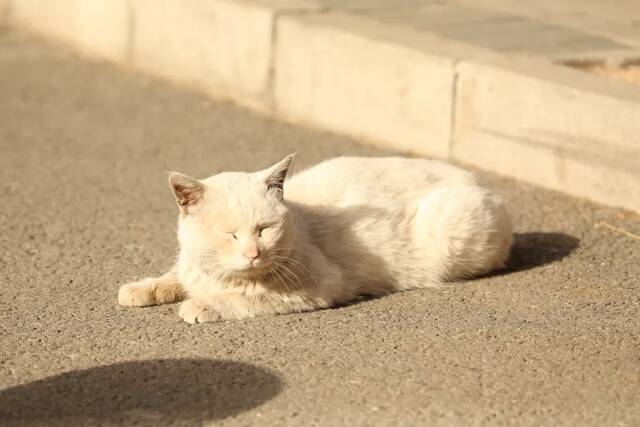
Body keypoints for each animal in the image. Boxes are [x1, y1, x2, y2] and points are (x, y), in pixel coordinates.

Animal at [117, 155, 512, 322]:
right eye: (230, 234)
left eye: (264, 229)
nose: (253, 253)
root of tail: (479, 181)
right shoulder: (190, 267)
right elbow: (173, 276)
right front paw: (140, 289)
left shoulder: (318, 286)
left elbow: (247, 297)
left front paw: (202, 305)